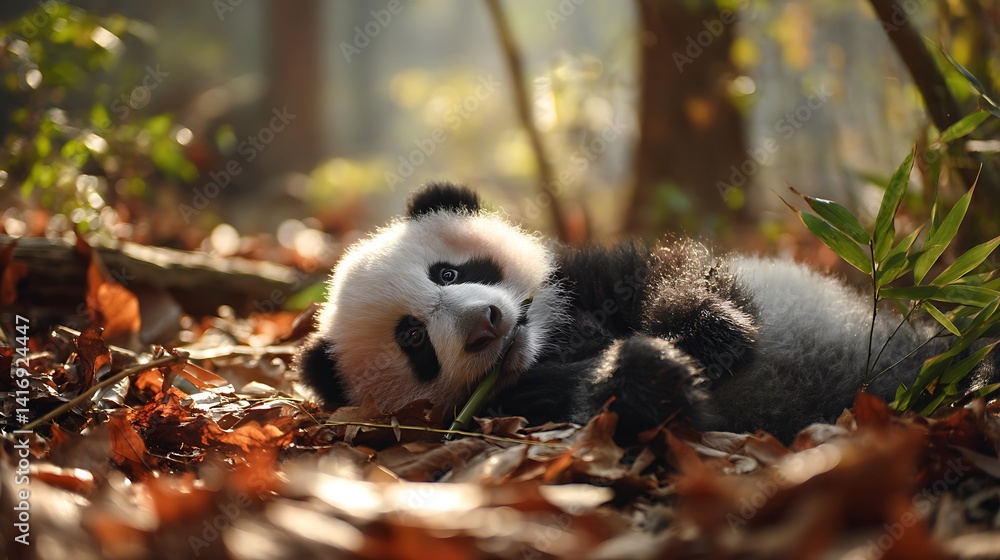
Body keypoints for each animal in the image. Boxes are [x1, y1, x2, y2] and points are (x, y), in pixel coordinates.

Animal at [295, 182, 991, 442]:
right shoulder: (510, 404)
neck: (553, 339)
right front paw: (652, 373)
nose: (487, 322)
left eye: (450, 272)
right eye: (413, 339)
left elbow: (676, 272)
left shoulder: (588, 277)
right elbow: (594, 405)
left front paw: (708, 334)